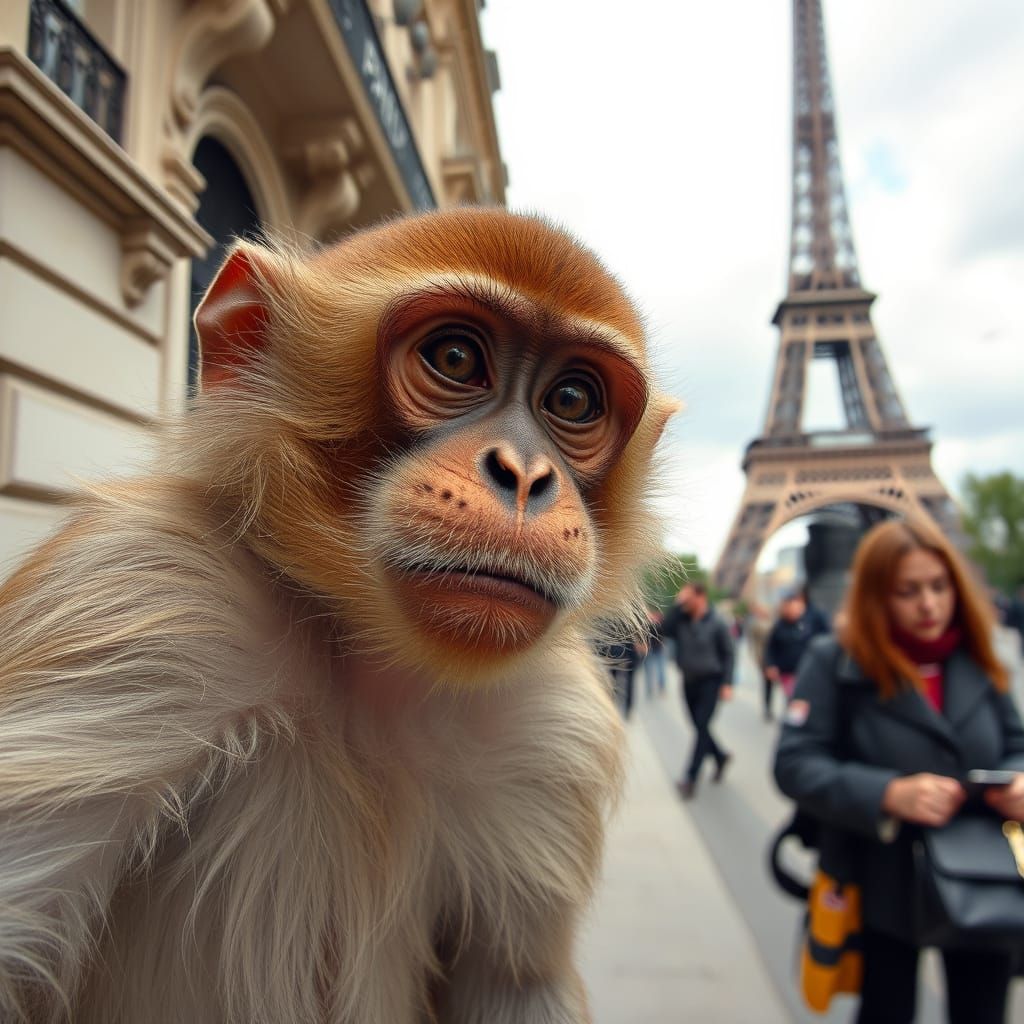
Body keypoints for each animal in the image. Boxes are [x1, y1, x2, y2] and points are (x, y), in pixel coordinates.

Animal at [0, 207, 677, 1023]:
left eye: (573, 401)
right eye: (456, 357)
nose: (525, 474)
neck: (369, 669)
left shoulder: (552, 730)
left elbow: (514, 983)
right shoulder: (147, 596)